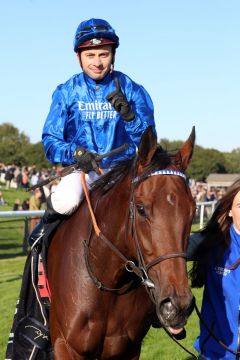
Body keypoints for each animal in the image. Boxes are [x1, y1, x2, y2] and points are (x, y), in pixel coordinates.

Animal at [47, 125, 197, 358]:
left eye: (193, 211)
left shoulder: (128, 349)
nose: (178, 305)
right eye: (141, 209)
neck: (108, 281)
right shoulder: (65, 345)